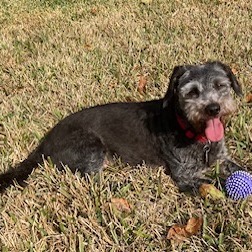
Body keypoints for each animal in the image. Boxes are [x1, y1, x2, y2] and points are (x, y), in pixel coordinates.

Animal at [0, 61, 245, 193]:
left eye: (220, 85)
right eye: (193, 92)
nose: (213, 108)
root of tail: (47, 140)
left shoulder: (222, 157)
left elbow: (239, 169)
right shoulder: (184, 176)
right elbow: (217, 184)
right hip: (90, 146)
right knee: (92, 182)